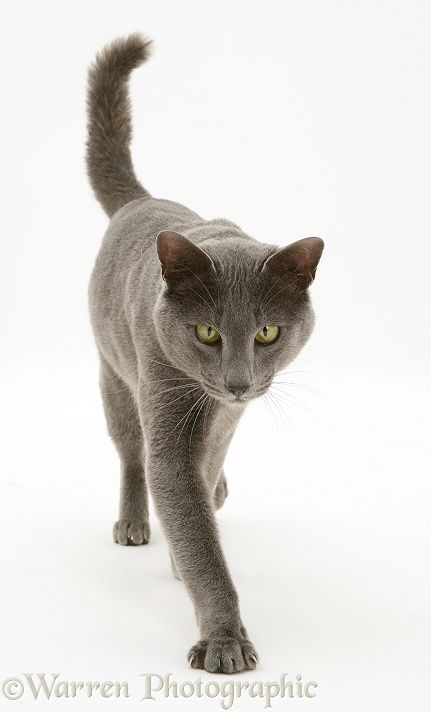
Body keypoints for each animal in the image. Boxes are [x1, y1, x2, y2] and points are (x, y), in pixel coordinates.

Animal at [87, 33, 324, 672]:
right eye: (207, 333)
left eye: (266, 333)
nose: (239, 381)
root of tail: (141, 202)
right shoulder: (164, 399)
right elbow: (183, 506)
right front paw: (224, 640)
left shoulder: (227, 420)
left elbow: (204, 479)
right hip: (114, 375)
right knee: (130, 452)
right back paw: (134, 521)